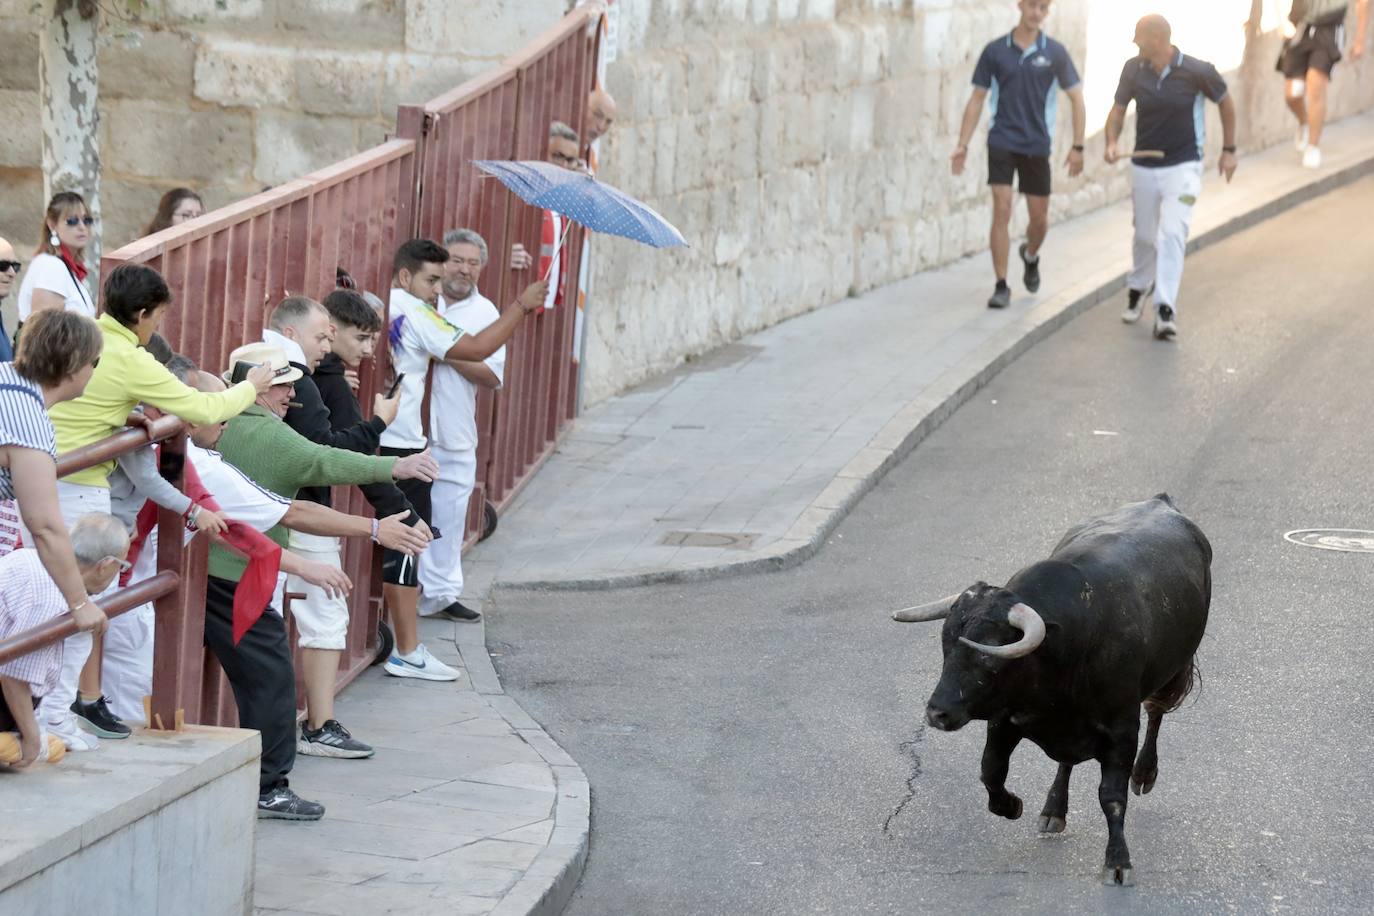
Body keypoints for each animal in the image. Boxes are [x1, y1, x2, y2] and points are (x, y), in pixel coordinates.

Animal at [895, 494, 1209, 889]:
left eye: (989, 657)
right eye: (945, 646)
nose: (936, 713)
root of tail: (1160, 501)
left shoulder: (1121, 729)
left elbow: (1112, 796)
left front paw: (1117, 860)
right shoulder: (1005, 718)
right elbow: (990, 770)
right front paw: (1011, 806)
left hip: (1173, 672)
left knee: (1156, 713)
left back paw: (1144, 774)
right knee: (1065, 762)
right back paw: (1054, 808)